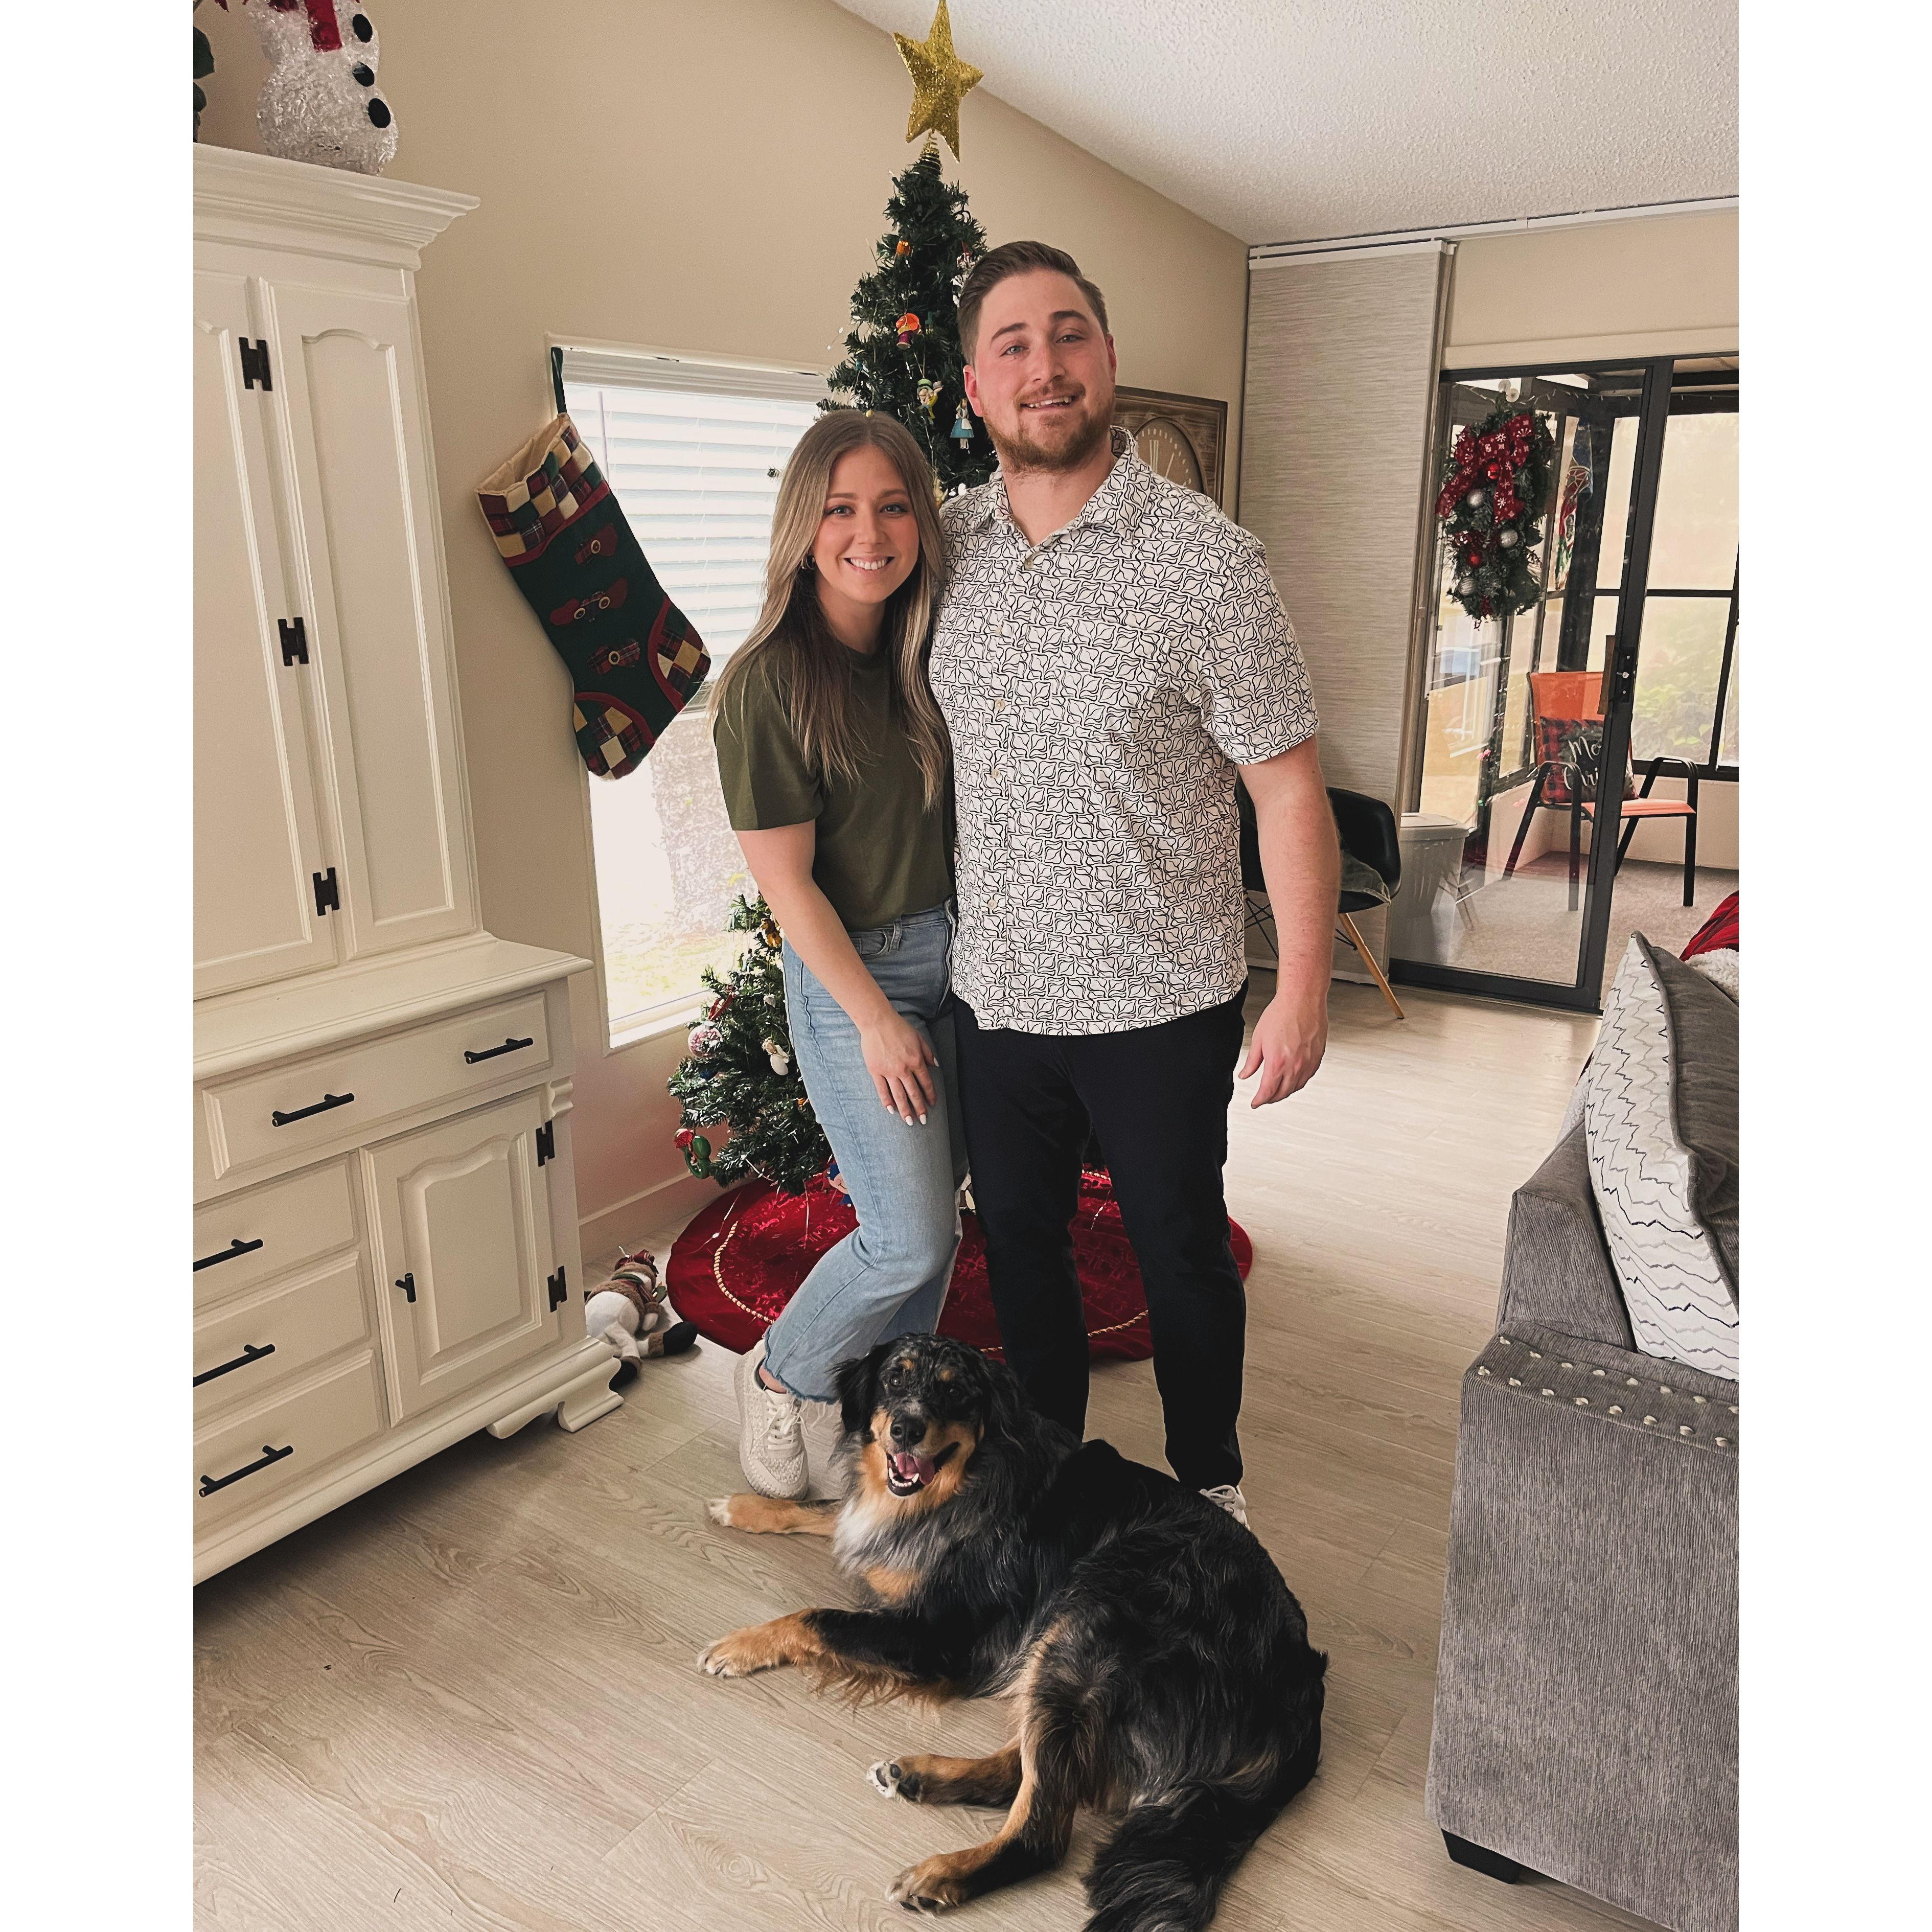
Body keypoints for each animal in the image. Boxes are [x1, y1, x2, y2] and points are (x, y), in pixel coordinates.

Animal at [700, 1333, 1326, 1929]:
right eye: (895, 1378)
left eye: (955, 1391)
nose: (905, 1429)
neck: (963, 1482)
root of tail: (1301, 1685)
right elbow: (830, 1510)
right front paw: (745, 1508)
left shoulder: (938, 1642)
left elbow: (816, 1616)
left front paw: (739, 1645)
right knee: (1030, 1769)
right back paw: (919, 1777)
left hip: (1085, 1622)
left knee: (1042, 1832)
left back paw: (943, 1873)